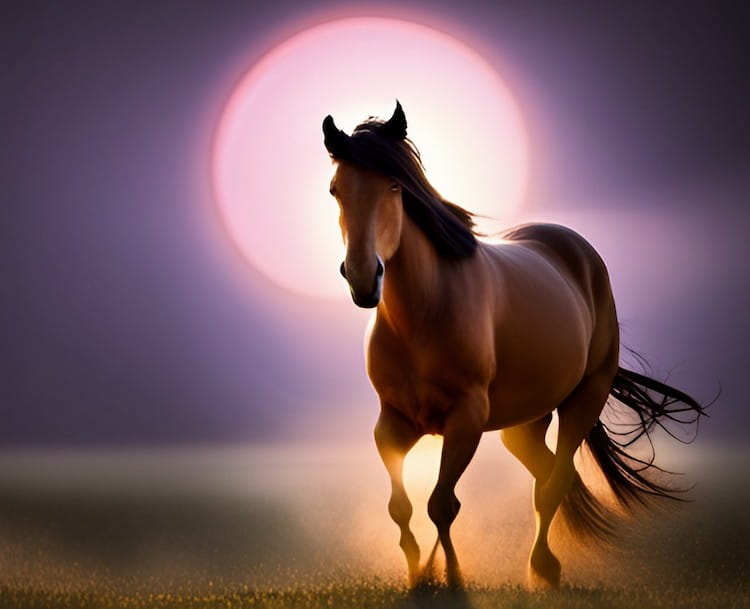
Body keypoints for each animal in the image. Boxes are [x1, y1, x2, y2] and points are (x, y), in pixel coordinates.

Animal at [321, 101, 706, 588]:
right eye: (335, 189)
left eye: (394, 186)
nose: (362, 278)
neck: (424, 315)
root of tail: (576, 248)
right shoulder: (392, 424)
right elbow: (400, 506)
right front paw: (417, 574)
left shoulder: (466, 421)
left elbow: (441, 505)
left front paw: (451, 579)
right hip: (524, 423)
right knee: (548, 475)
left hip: (585, 397)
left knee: (556, 480)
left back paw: (543, 569)